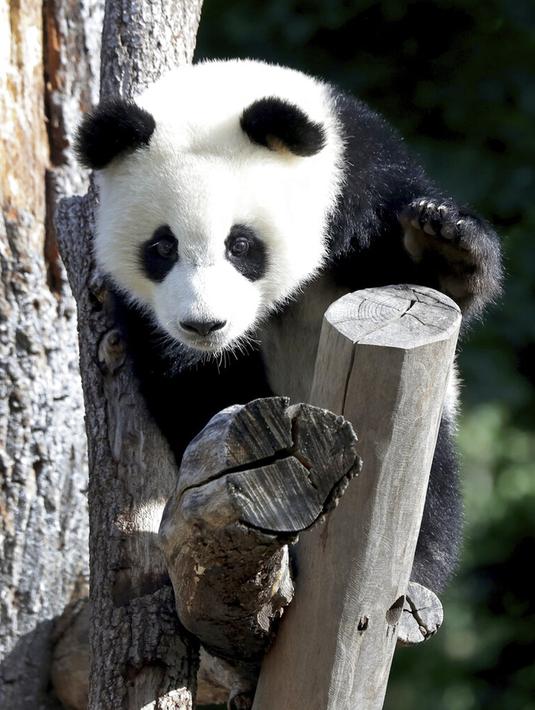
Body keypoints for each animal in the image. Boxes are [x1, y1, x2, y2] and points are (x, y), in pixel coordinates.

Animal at [76, 58, 502, 593]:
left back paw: (421, 564)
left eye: (240, 244)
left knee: (428, 475)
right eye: (162, 247)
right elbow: (198, 388)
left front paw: (443, 244)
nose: (204, 324)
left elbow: (428, 277)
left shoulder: (360, 180)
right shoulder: (149, 315)